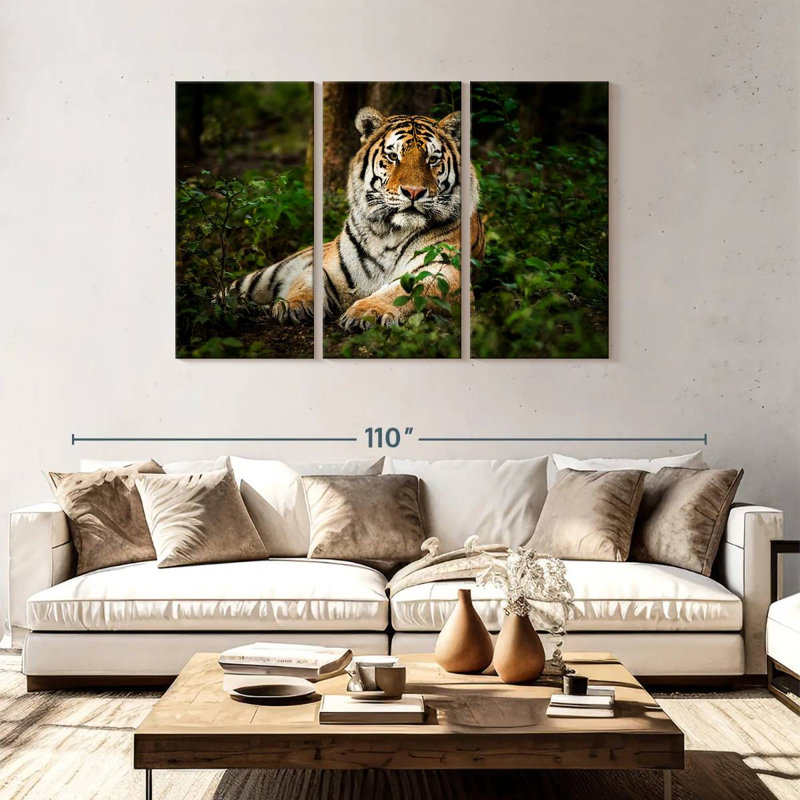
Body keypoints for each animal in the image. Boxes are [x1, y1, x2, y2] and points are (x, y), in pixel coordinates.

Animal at [227, 106, 485, 328]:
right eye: (393, 157)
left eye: (432, 159)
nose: (413, 192)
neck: (390, 233)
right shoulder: (327, 267)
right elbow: (305, 283)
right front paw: (294, 305)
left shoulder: (444, 271)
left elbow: (403, 290)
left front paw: (367, 312)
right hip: (261, 278)